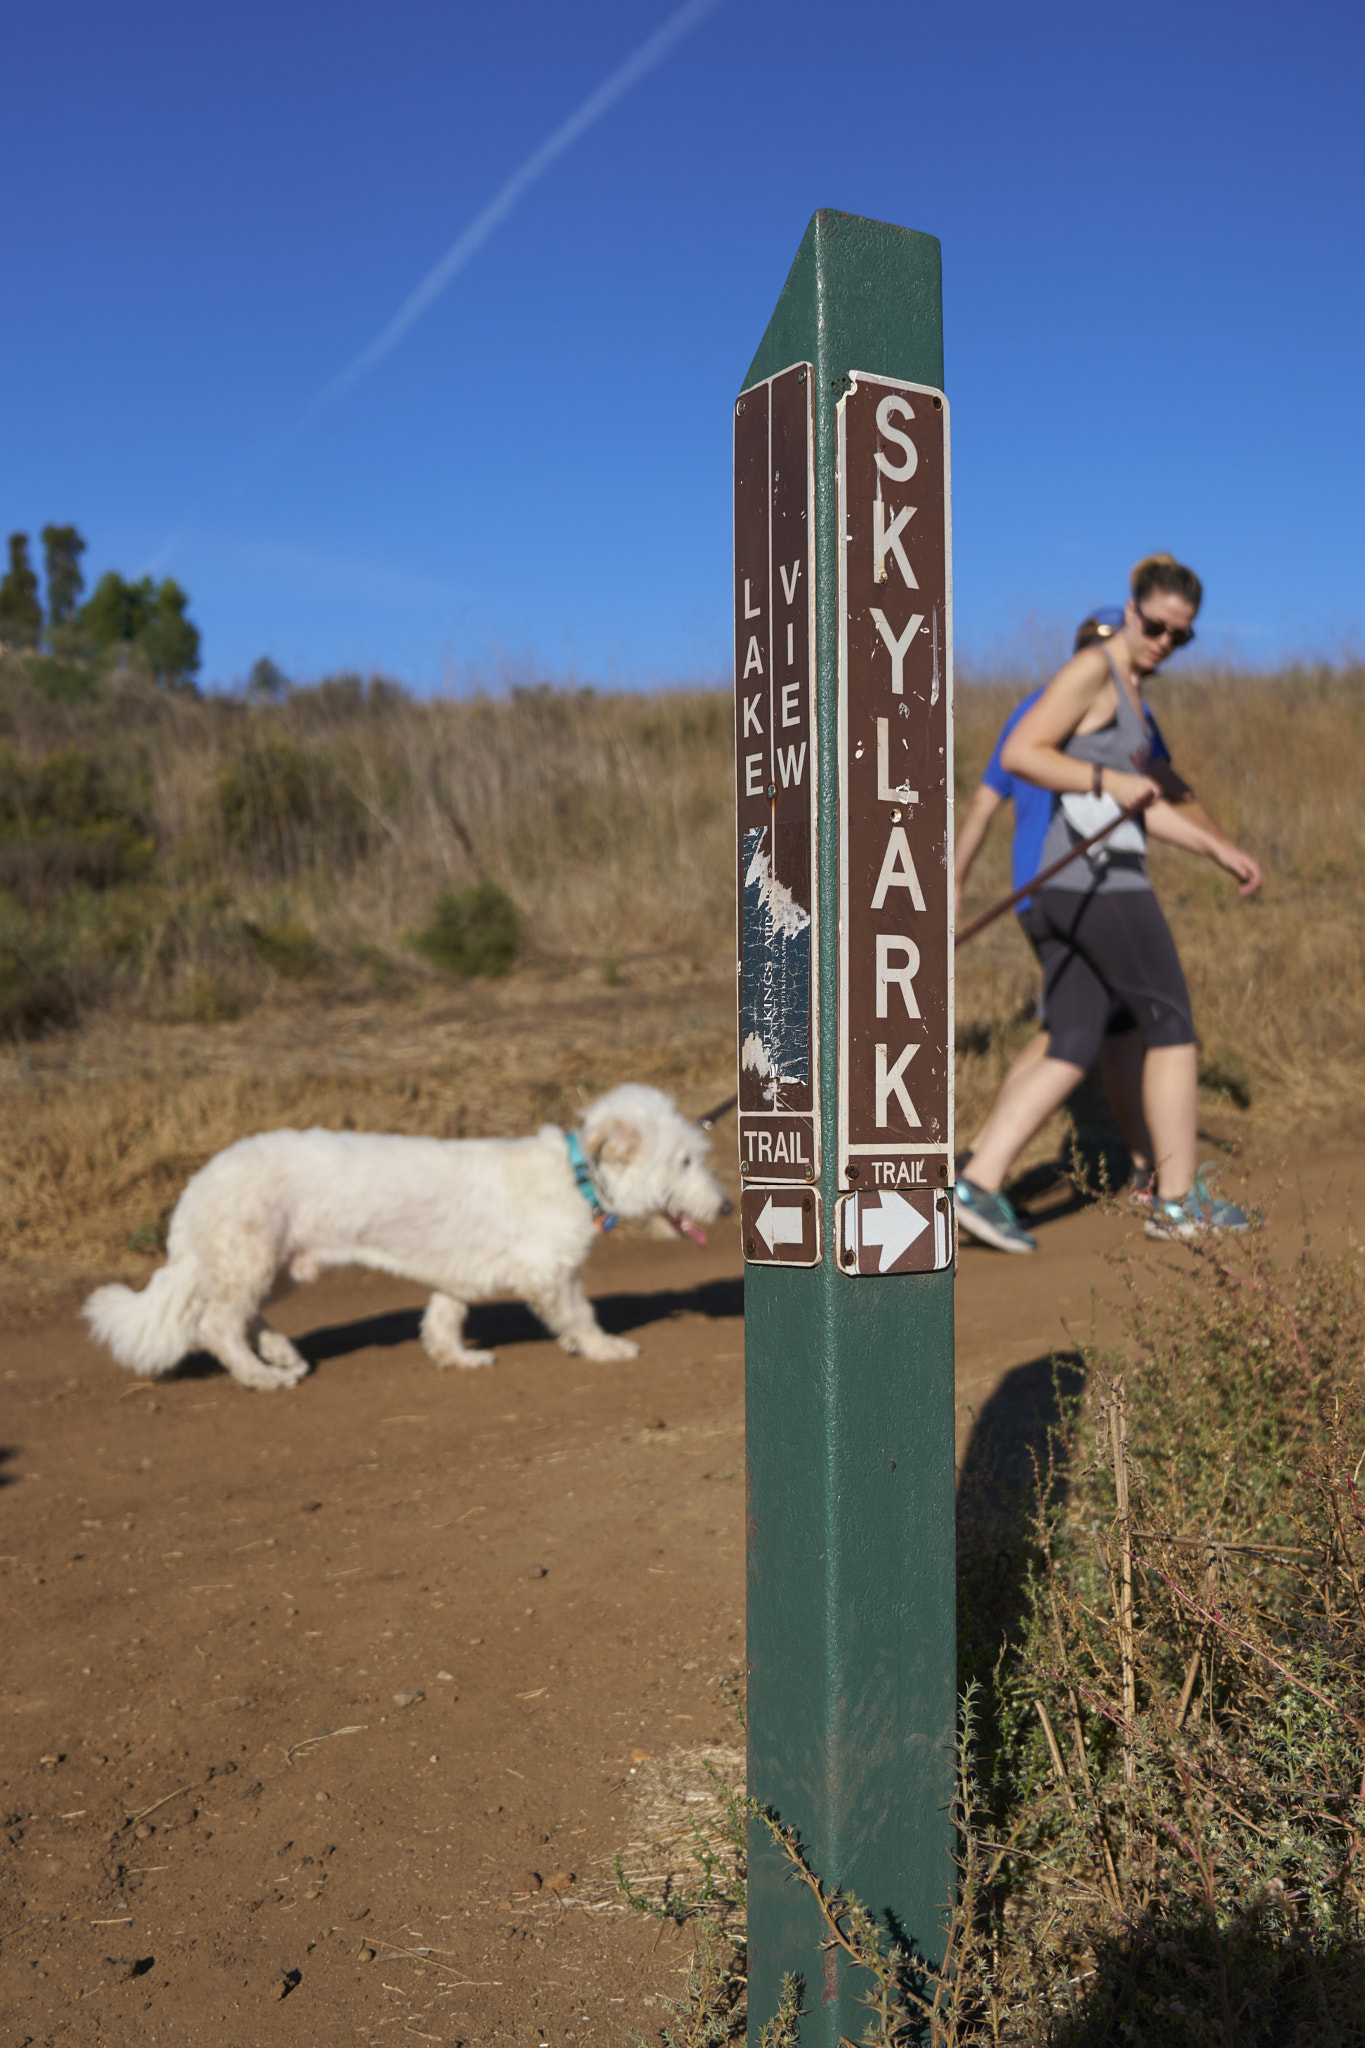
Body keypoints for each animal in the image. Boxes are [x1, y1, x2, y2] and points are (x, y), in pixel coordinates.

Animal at [85, 1089, 732, 1392]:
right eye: (684, 1162)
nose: (726, 1206)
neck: (576, 1176)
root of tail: (199, 1184)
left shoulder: (458, 1277)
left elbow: (443, 1320)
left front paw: (456, 1358)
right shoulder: (550, 1273)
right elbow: (580, 1315)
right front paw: (604, 1348)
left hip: (280, 1267)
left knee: (243, 1316)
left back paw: (281, 1353)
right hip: (252, 1259)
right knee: (217, 1325)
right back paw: (263, 1375)